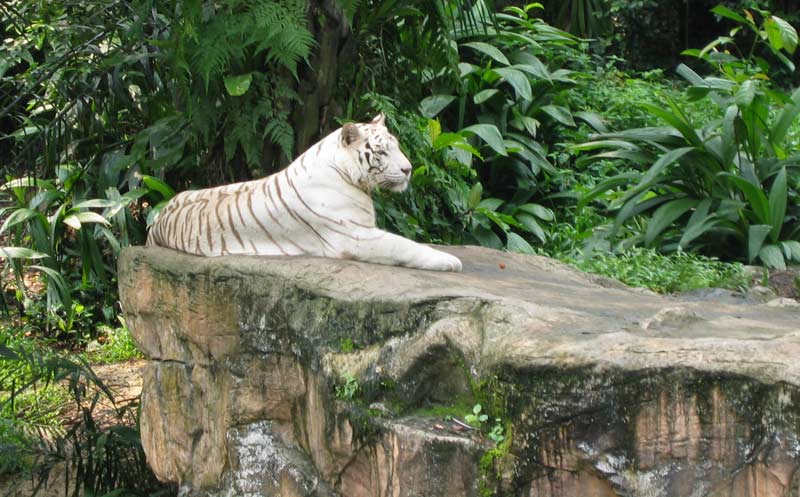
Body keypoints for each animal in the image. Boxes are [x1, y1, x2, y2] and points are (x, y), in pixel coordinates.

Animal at [145, 114, 462, 272]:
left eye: (396, 146)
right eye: (383, 151)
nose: (409, 169)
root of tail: (156, 220)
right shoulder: (354, 235)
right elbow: (403, 246)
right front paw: (449, 261)